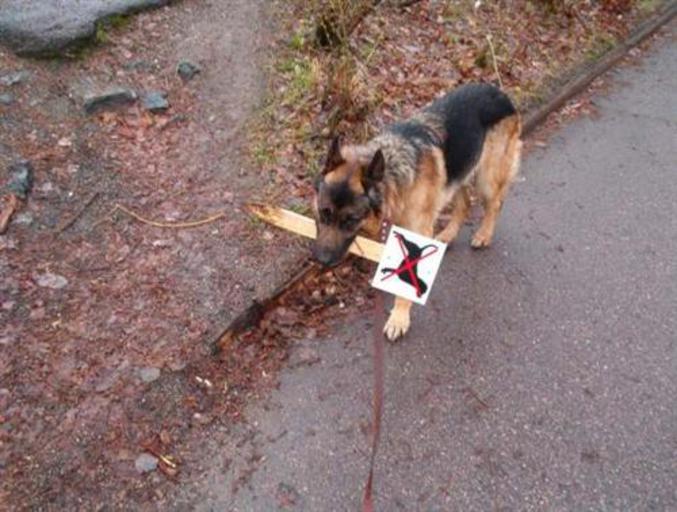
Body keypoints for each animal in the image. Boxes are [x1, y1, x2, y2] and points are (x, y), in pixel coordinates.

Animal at [312, 83, 524, 340]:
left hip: (486, 178)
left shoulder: (416, 229)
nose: (321, 260)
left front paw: (399, 317)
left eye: (350, 220)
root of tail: (498, 91)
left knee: (494, 204)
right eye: (324, 213)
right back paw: (447, 236)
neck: (394, 177)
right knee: (464, 204)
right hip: (457, 175)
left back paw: (483, 235)